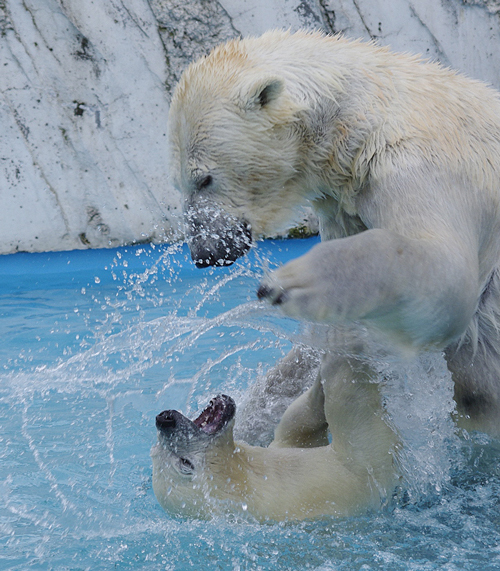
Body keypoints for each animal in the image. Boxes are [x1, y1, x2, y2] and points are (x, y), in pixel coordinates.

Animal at [151, 30, 500, 524]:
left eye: (204, 179)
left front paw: (299, 280)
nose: (204, 254)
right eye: (181, 182)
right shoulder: (342, 203)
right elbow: (307, 360)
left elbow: (444, 277)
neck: (361, 118)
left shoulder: (420, 161)